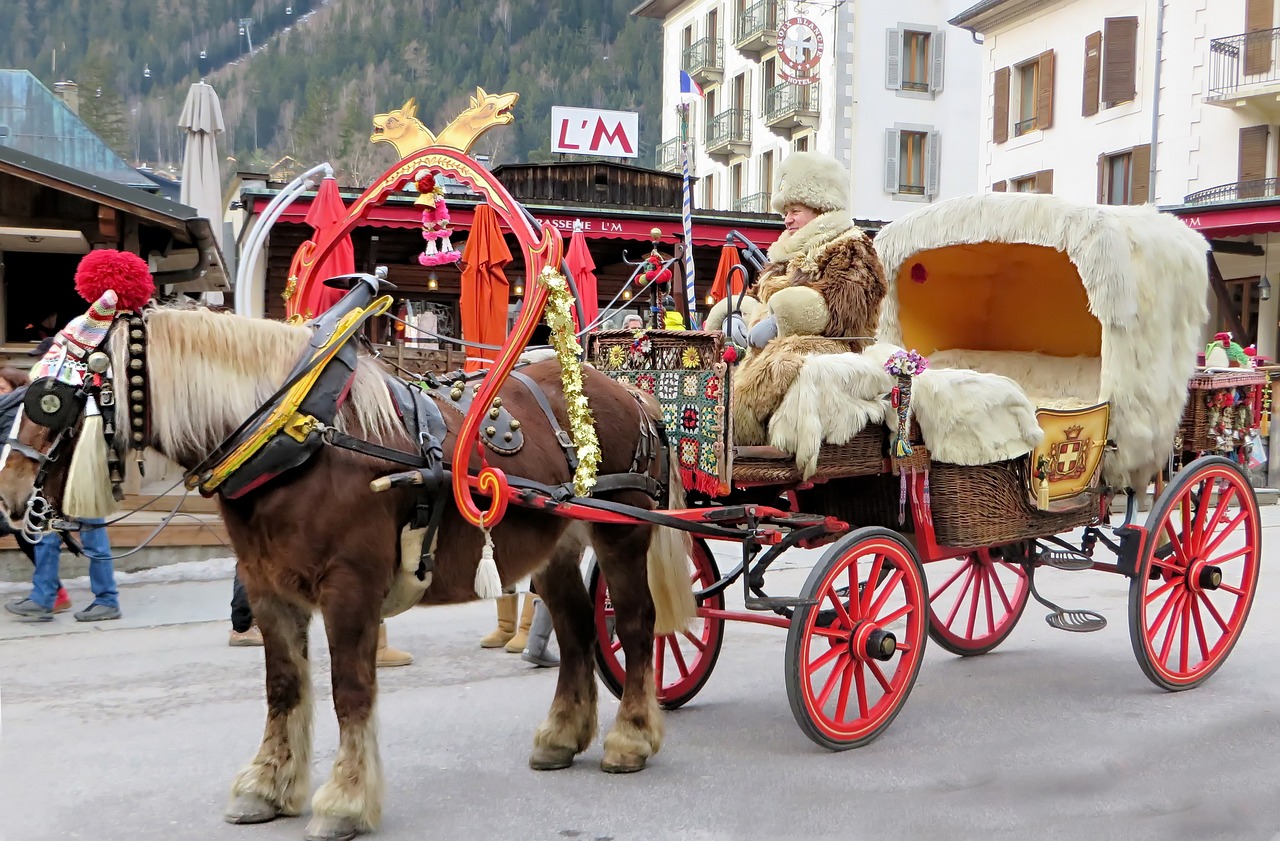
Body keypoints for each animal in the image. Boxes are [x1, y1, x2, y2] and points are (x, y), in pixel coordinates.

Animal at [0, 304, 701, 839]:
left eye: (53, 400)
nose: (9, 499)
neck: (295, 436)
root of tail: (629, 390)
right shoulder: (268, 588)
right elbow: (284, 688)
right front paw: (268, 785)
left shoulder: (349, 589)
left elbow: (350, 691)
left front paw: (345, 799)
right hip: (551, 547)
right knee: (578, 630)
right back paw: (561, 736)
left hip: (622, 532)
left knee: (634, 627)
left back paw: (631, 738)